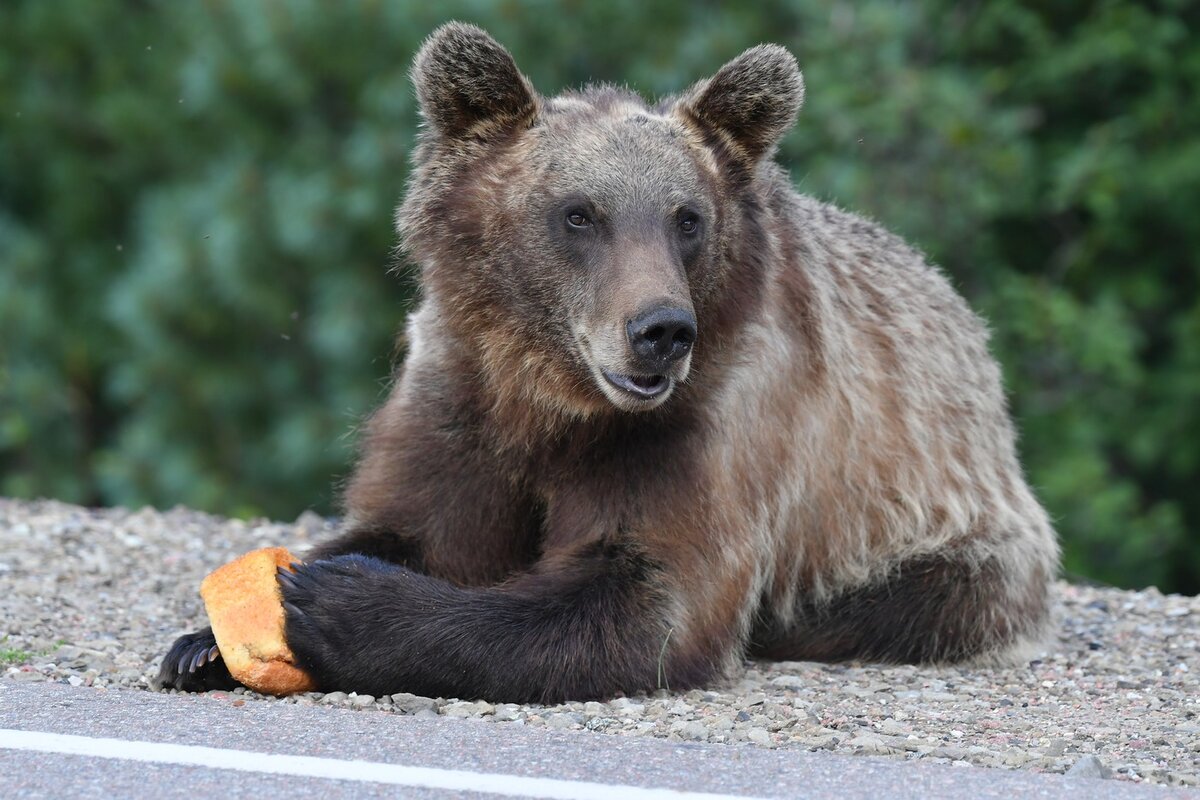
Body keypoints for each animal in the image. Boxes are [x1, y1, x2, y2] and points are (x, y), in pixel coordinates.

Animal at [157, 21, 1060, 705]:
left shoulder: (702, 430)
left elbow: (644, 594)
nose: (661, 330)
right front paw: (203, 641)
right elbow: (413, 520)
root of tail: (965, 325)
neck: (548, 392)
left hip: (944, 521)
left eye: (687, 217)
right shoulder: (459, 400)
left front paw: (337, 603)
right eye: (579, 214)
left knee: (915, 594)